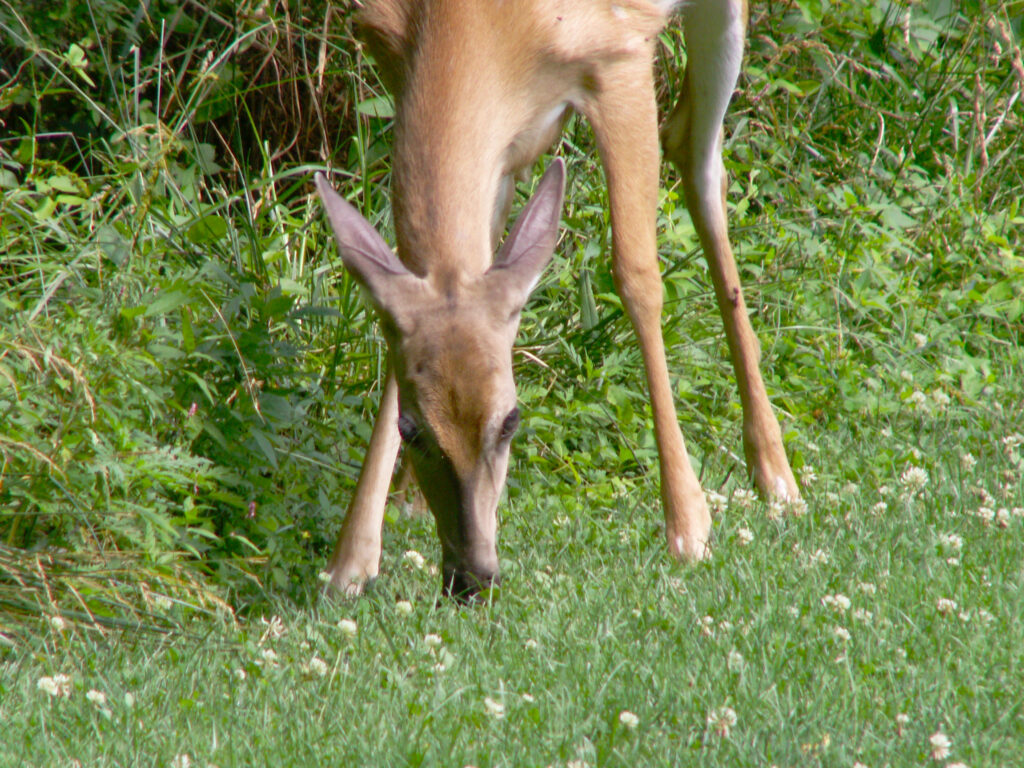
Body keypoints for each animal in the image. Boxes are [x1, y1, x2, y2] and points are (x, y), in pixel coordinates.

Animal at [311, 0, 798, 602]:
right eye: (412, 429)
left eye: (512, 421)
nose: (471, 578)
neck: (475, 27)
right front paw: (350, 562)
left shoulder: (620, 54)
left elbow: (637, 276)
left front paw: (688, 526)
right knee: (690, 142)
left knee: (701, 159)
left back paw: (777, 476)